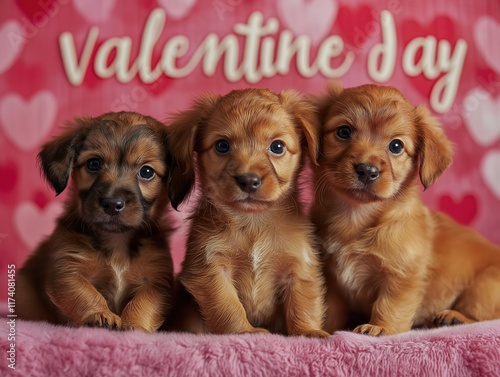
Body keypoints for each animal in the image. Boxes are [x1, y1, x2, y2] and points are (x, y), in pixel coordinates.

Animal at [16, 111, 174, 332]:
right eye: (93, 164)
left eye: (147, 172)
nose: (112, 204)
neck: (117, 240)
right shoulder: (67, 271)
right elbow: (86, 294)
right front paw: (99, 314)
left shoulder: (157, 281)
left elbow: (143, 303)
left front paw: (135, 324)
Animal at [166, 89, 330, 338]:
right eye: (222, 146)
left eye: (277, 147)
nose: (248, 180)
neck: (253, 222)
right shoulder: (211, 269)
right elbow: (228, 306)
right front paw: (244, 331)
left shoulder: (299, 268)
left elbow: (302, 304)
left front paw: (308, 331)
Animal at [310, 83, 500, 334]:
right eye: (344, 132)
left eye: (396, 146)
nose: (367, 170)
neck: (354, 217)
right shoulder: (332, 278)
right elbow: (330, 309)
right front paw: (326, 329)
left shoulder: (402, 275)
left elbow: (389, 305)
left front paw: (380, 328)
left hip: (484, 286)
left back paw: (454, 317)